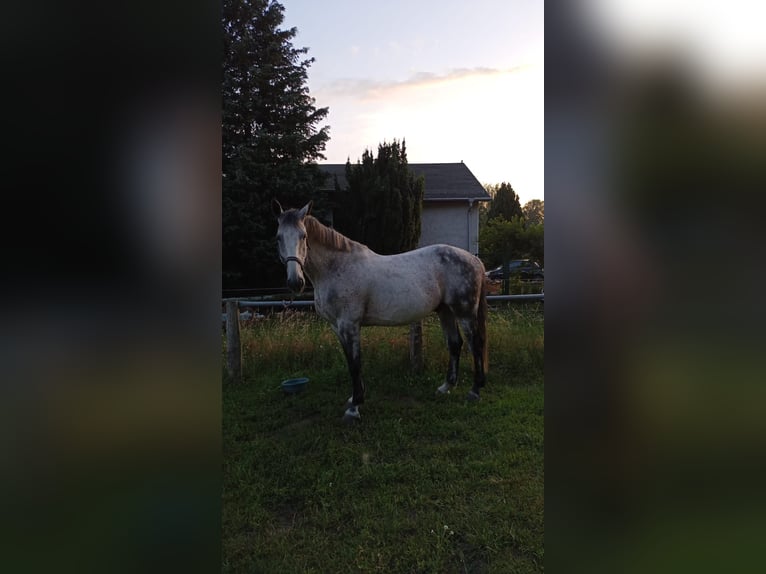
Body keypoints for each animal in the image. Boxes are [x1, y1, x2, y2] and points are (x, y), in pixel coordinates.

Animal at [273, 199, 488, 422]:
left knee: (476, 344)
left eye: (303, 236)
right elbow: (350, 363)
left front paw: (354, 408)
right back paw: (446, 387)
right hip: (445, 311)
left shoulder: (349, 325)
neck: (336, 268)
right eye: (278, 238)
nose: (295, 282)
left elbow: (355, 364)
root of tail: (474, 260)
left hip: (465, 312)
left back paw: (474, 390)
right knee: (455, 344)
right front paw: (354, 398)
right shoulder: (337, 327)